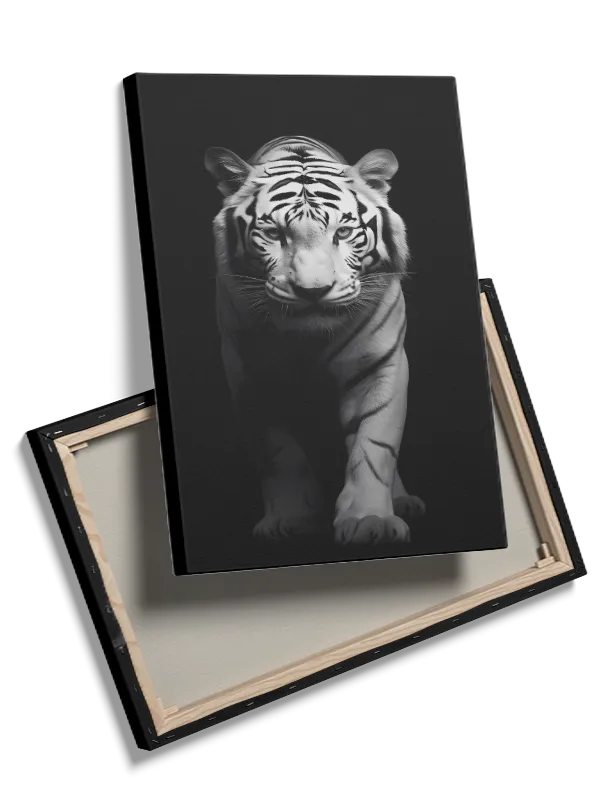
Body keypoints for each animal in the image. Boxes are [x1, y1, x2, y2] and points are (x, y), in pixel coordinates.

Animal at [205, 135, 425, 545]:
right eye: (273, 234)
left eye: (343, 233)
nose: (313, 291)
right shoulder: (250, 377)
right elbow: (279, 454)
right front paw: (289, 519)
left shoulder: (380, 365)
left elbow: (375, 444)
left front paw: (370, 520)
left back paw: (402, 501)